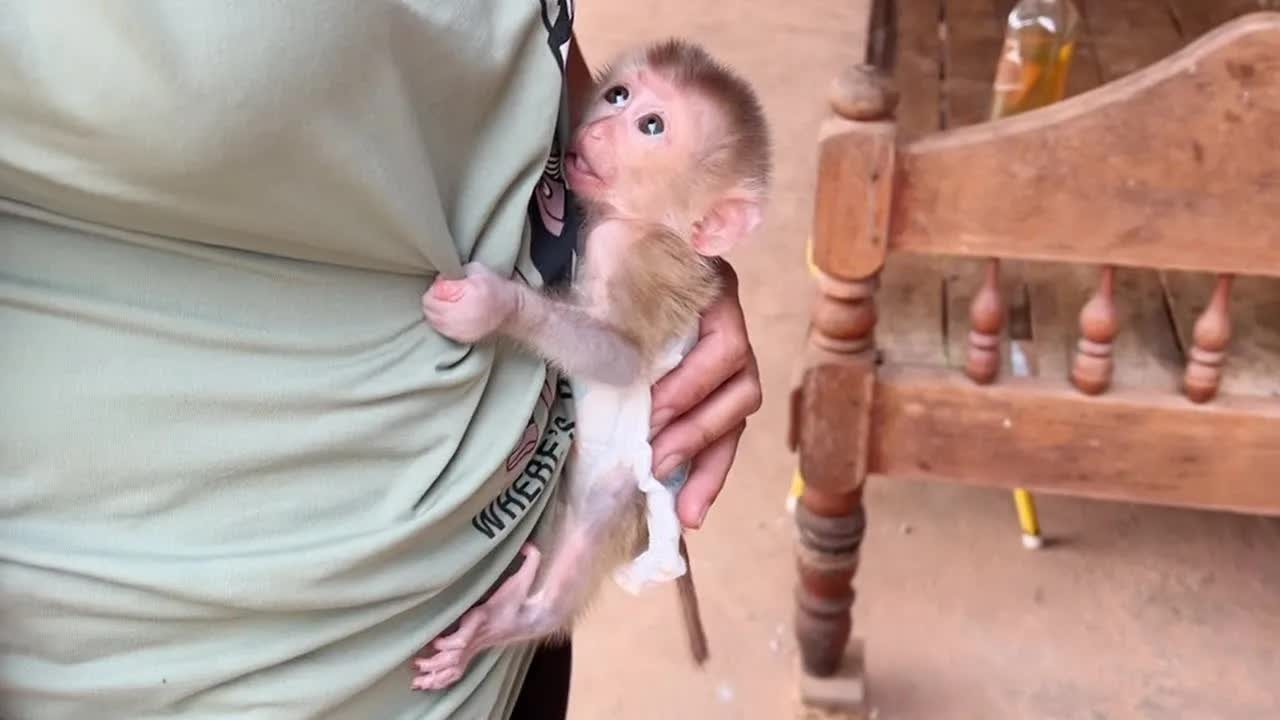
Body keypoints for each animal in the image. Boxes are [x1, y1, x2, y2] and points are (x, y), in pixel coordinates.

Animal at [413, 38, 771, 692]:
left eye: (651, 126)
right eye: (618, 95)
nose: (600, 125)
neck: (633, 219)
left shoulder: (632, 257)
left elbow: (624, 359)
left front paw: (493, 304)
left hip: (618, 498)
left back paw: (511, 619)